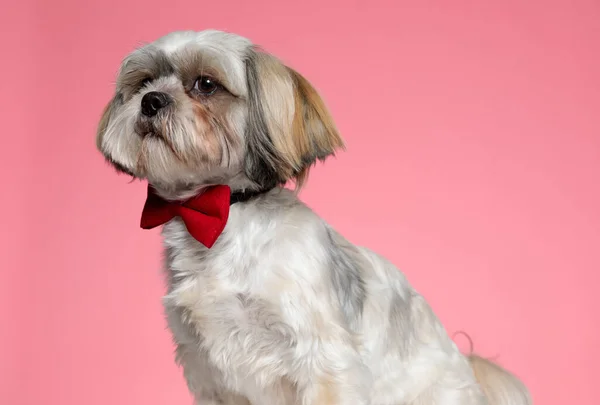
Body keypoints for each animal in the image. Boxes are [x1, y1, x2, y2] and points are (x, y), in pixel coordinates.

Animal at [96, 29, 532, 404]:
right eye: (144, 82)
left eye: (206, 84)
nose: (151, 100)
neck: (226, 214)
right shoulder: (208, 370)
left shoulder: (323, 361)